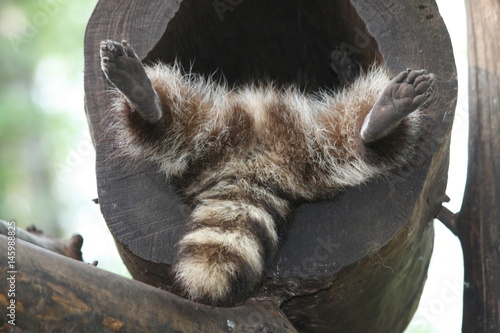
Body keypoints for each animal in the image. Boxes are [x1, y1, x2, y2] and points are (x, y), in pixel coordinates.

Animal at [98, 39, 434, 306]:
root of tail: (256, 166)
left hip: (308, 145)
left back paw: (378, 122)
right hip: (214, 133)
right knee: (170, 124)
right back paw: (145, 98)